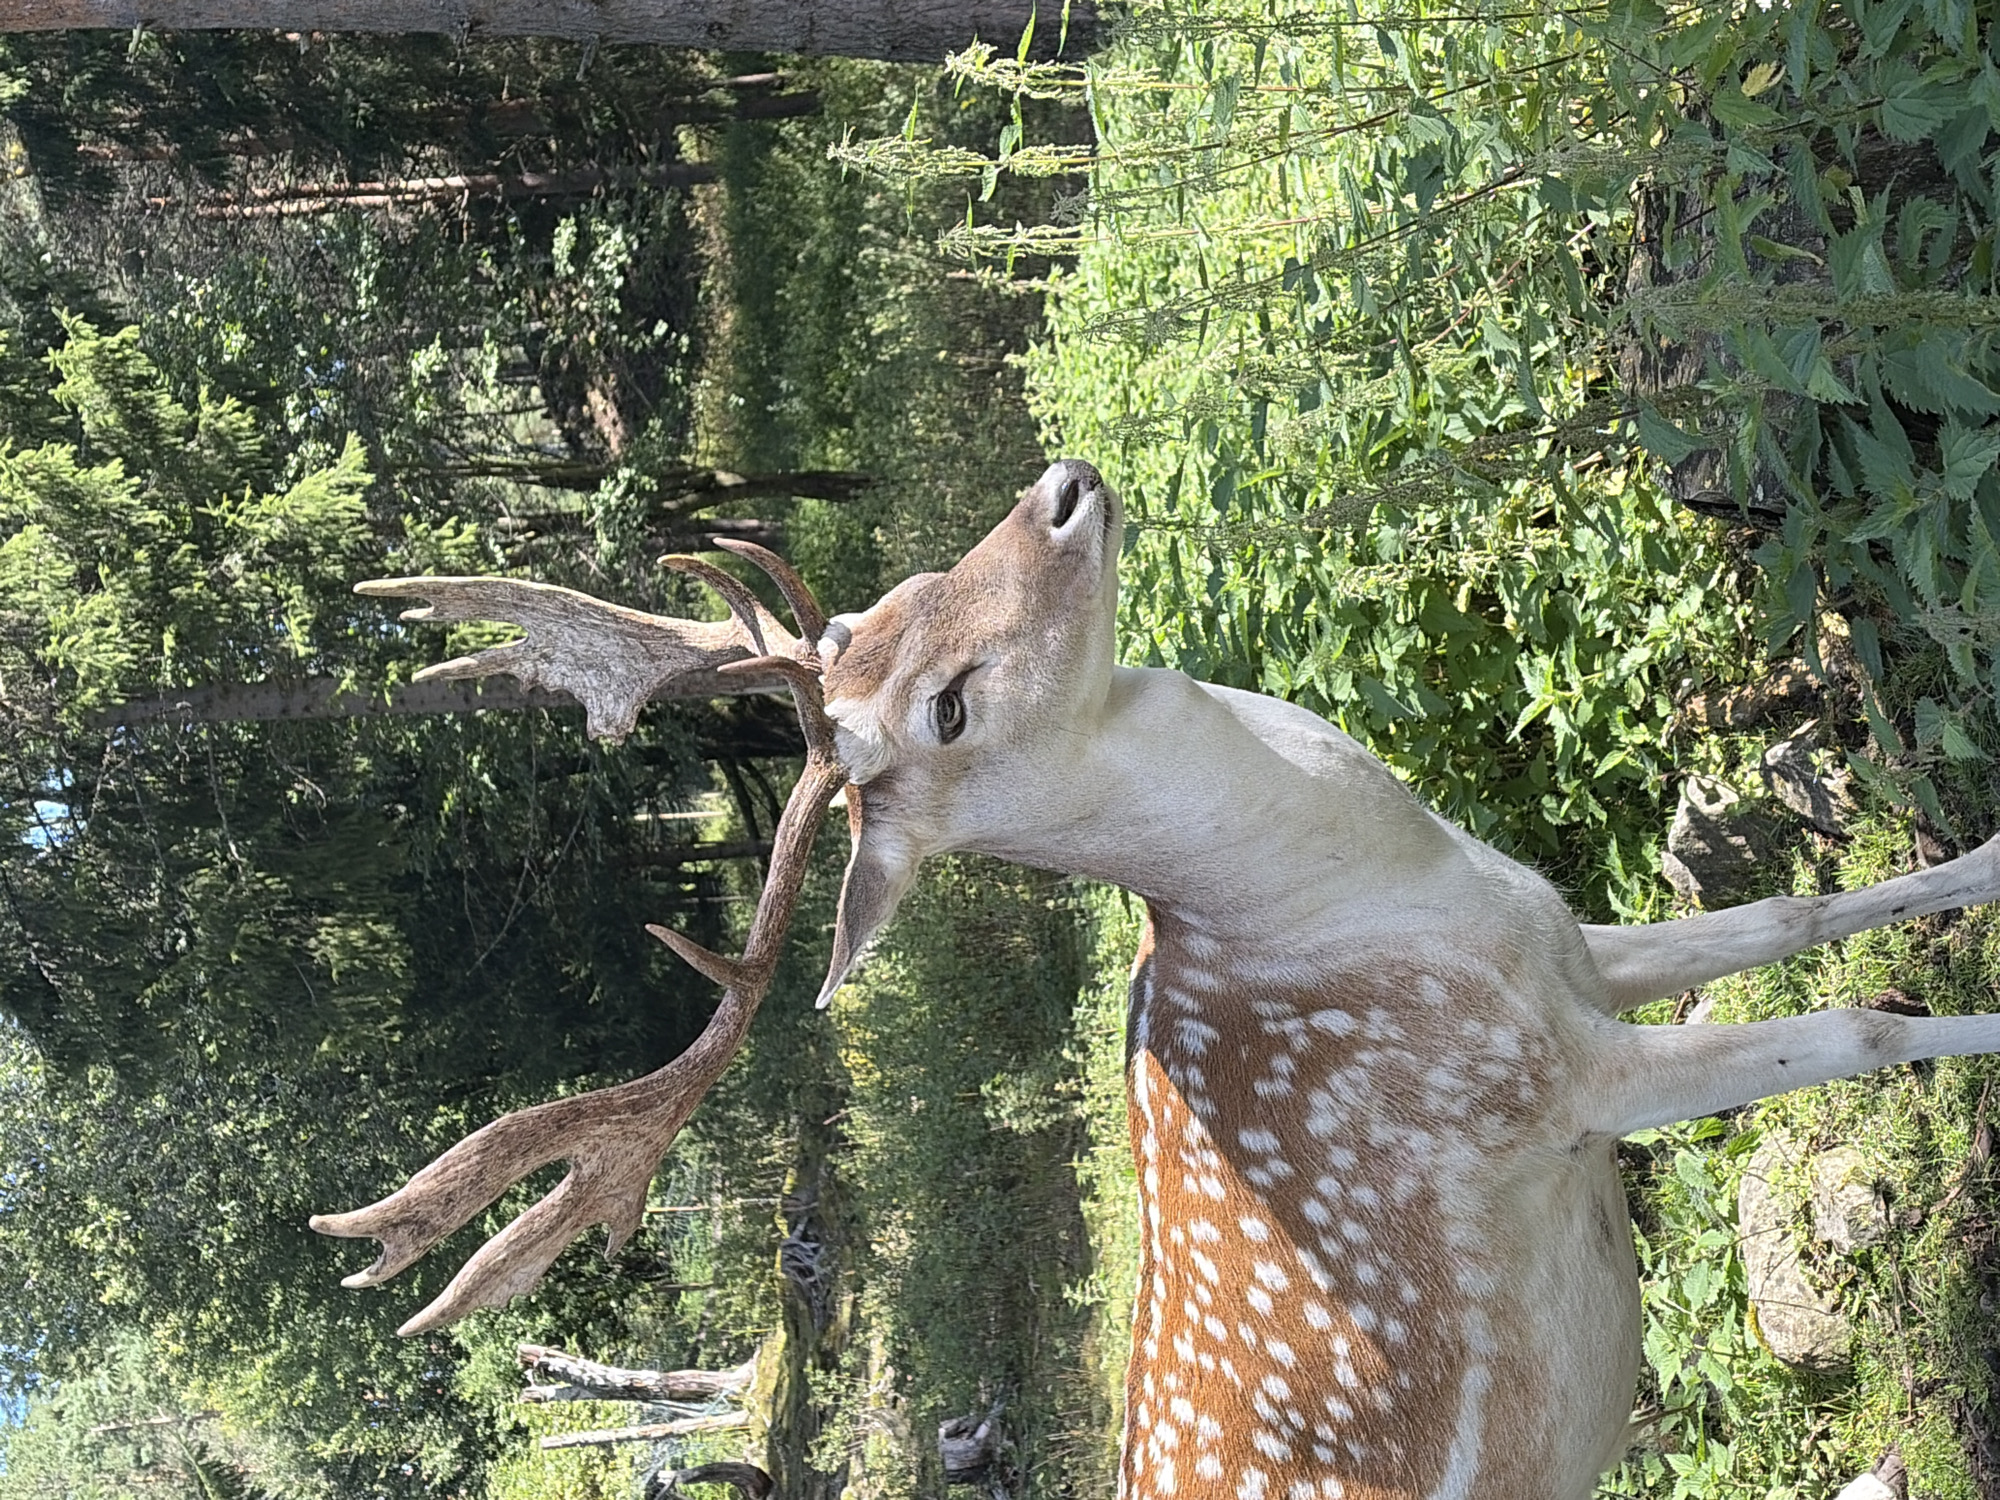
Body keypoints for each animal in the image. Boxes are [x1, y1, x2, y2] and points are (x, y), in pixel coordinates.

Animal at [317, 459, 2000, 1499]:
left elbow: (1810, 903)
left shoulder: (1571, 942)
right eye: (945, 707)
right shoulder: (1550, 1085)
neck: (1360, 898)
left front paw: (1974, 865)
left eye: (904, 591)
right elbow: (1862, 1025)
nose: (1059, 492)